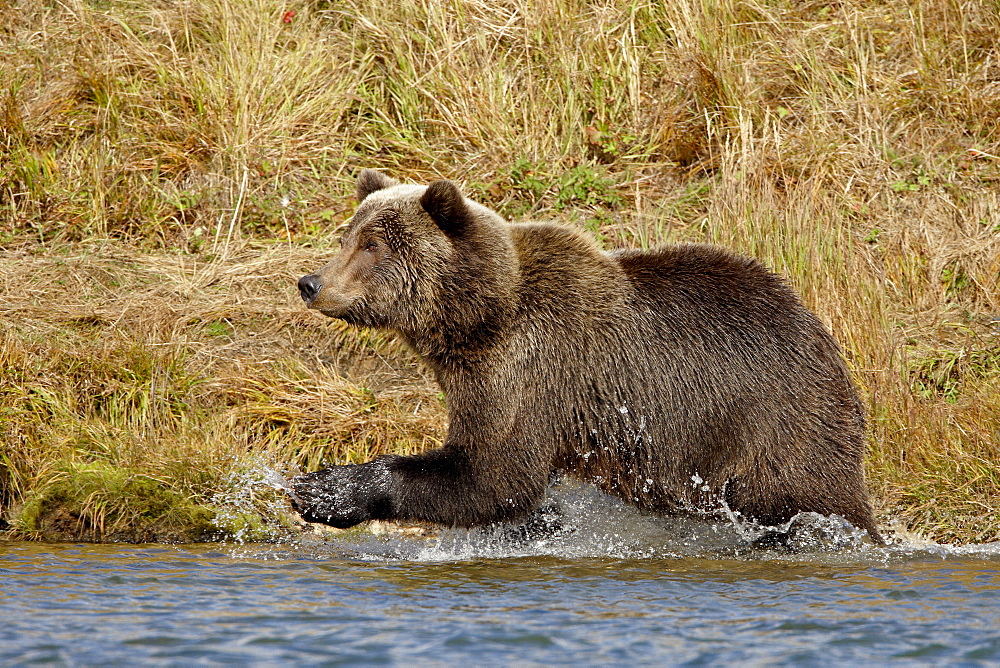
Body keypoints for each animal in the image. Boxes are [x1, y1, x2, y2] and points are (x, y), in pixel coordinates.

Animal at [292, 166, 884, 544]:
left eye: (373, 245)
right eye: (348, 236)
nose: (310, 282)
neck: (478, 317)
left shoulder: (530, 370)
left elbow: (492, 474)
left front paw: (325, 488)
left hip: (771, 421)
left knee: (807, 500)